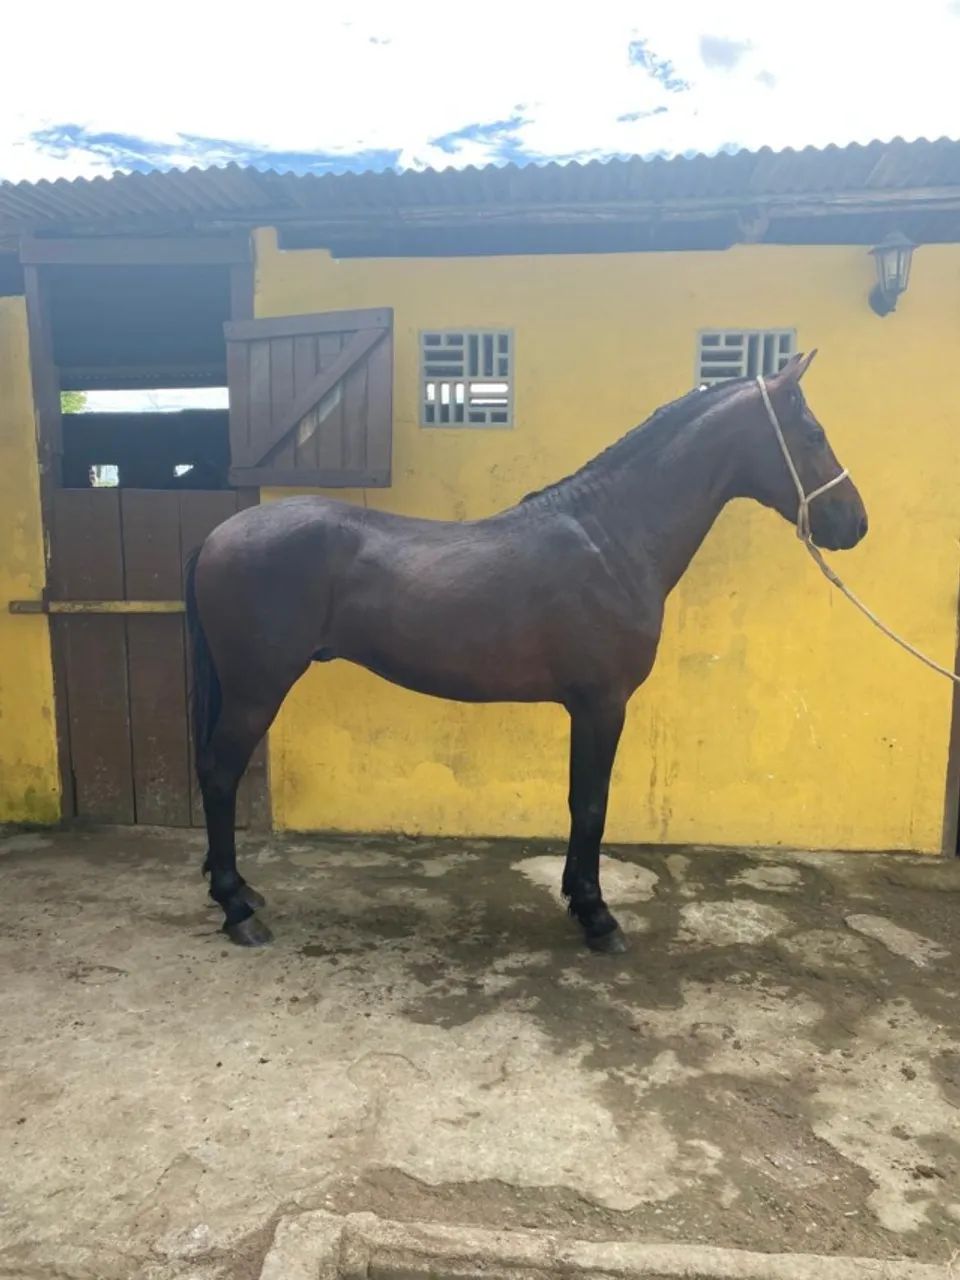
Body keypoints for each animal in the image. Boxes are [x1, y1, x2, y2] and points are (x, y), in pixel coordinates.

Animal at [185, 351, 868, 953]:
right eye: (812, 434)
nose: (854, 523)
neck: (611, 538)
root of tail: (217, 536)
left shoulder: (587, 707)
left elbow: (578, 802)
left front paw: (578, 899)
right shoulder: (602, 704)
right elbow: (591, 806)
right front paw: (598, 917)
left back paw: (242, 891)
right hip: (256, 689)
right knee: (218, 774)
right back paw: (237, 909)